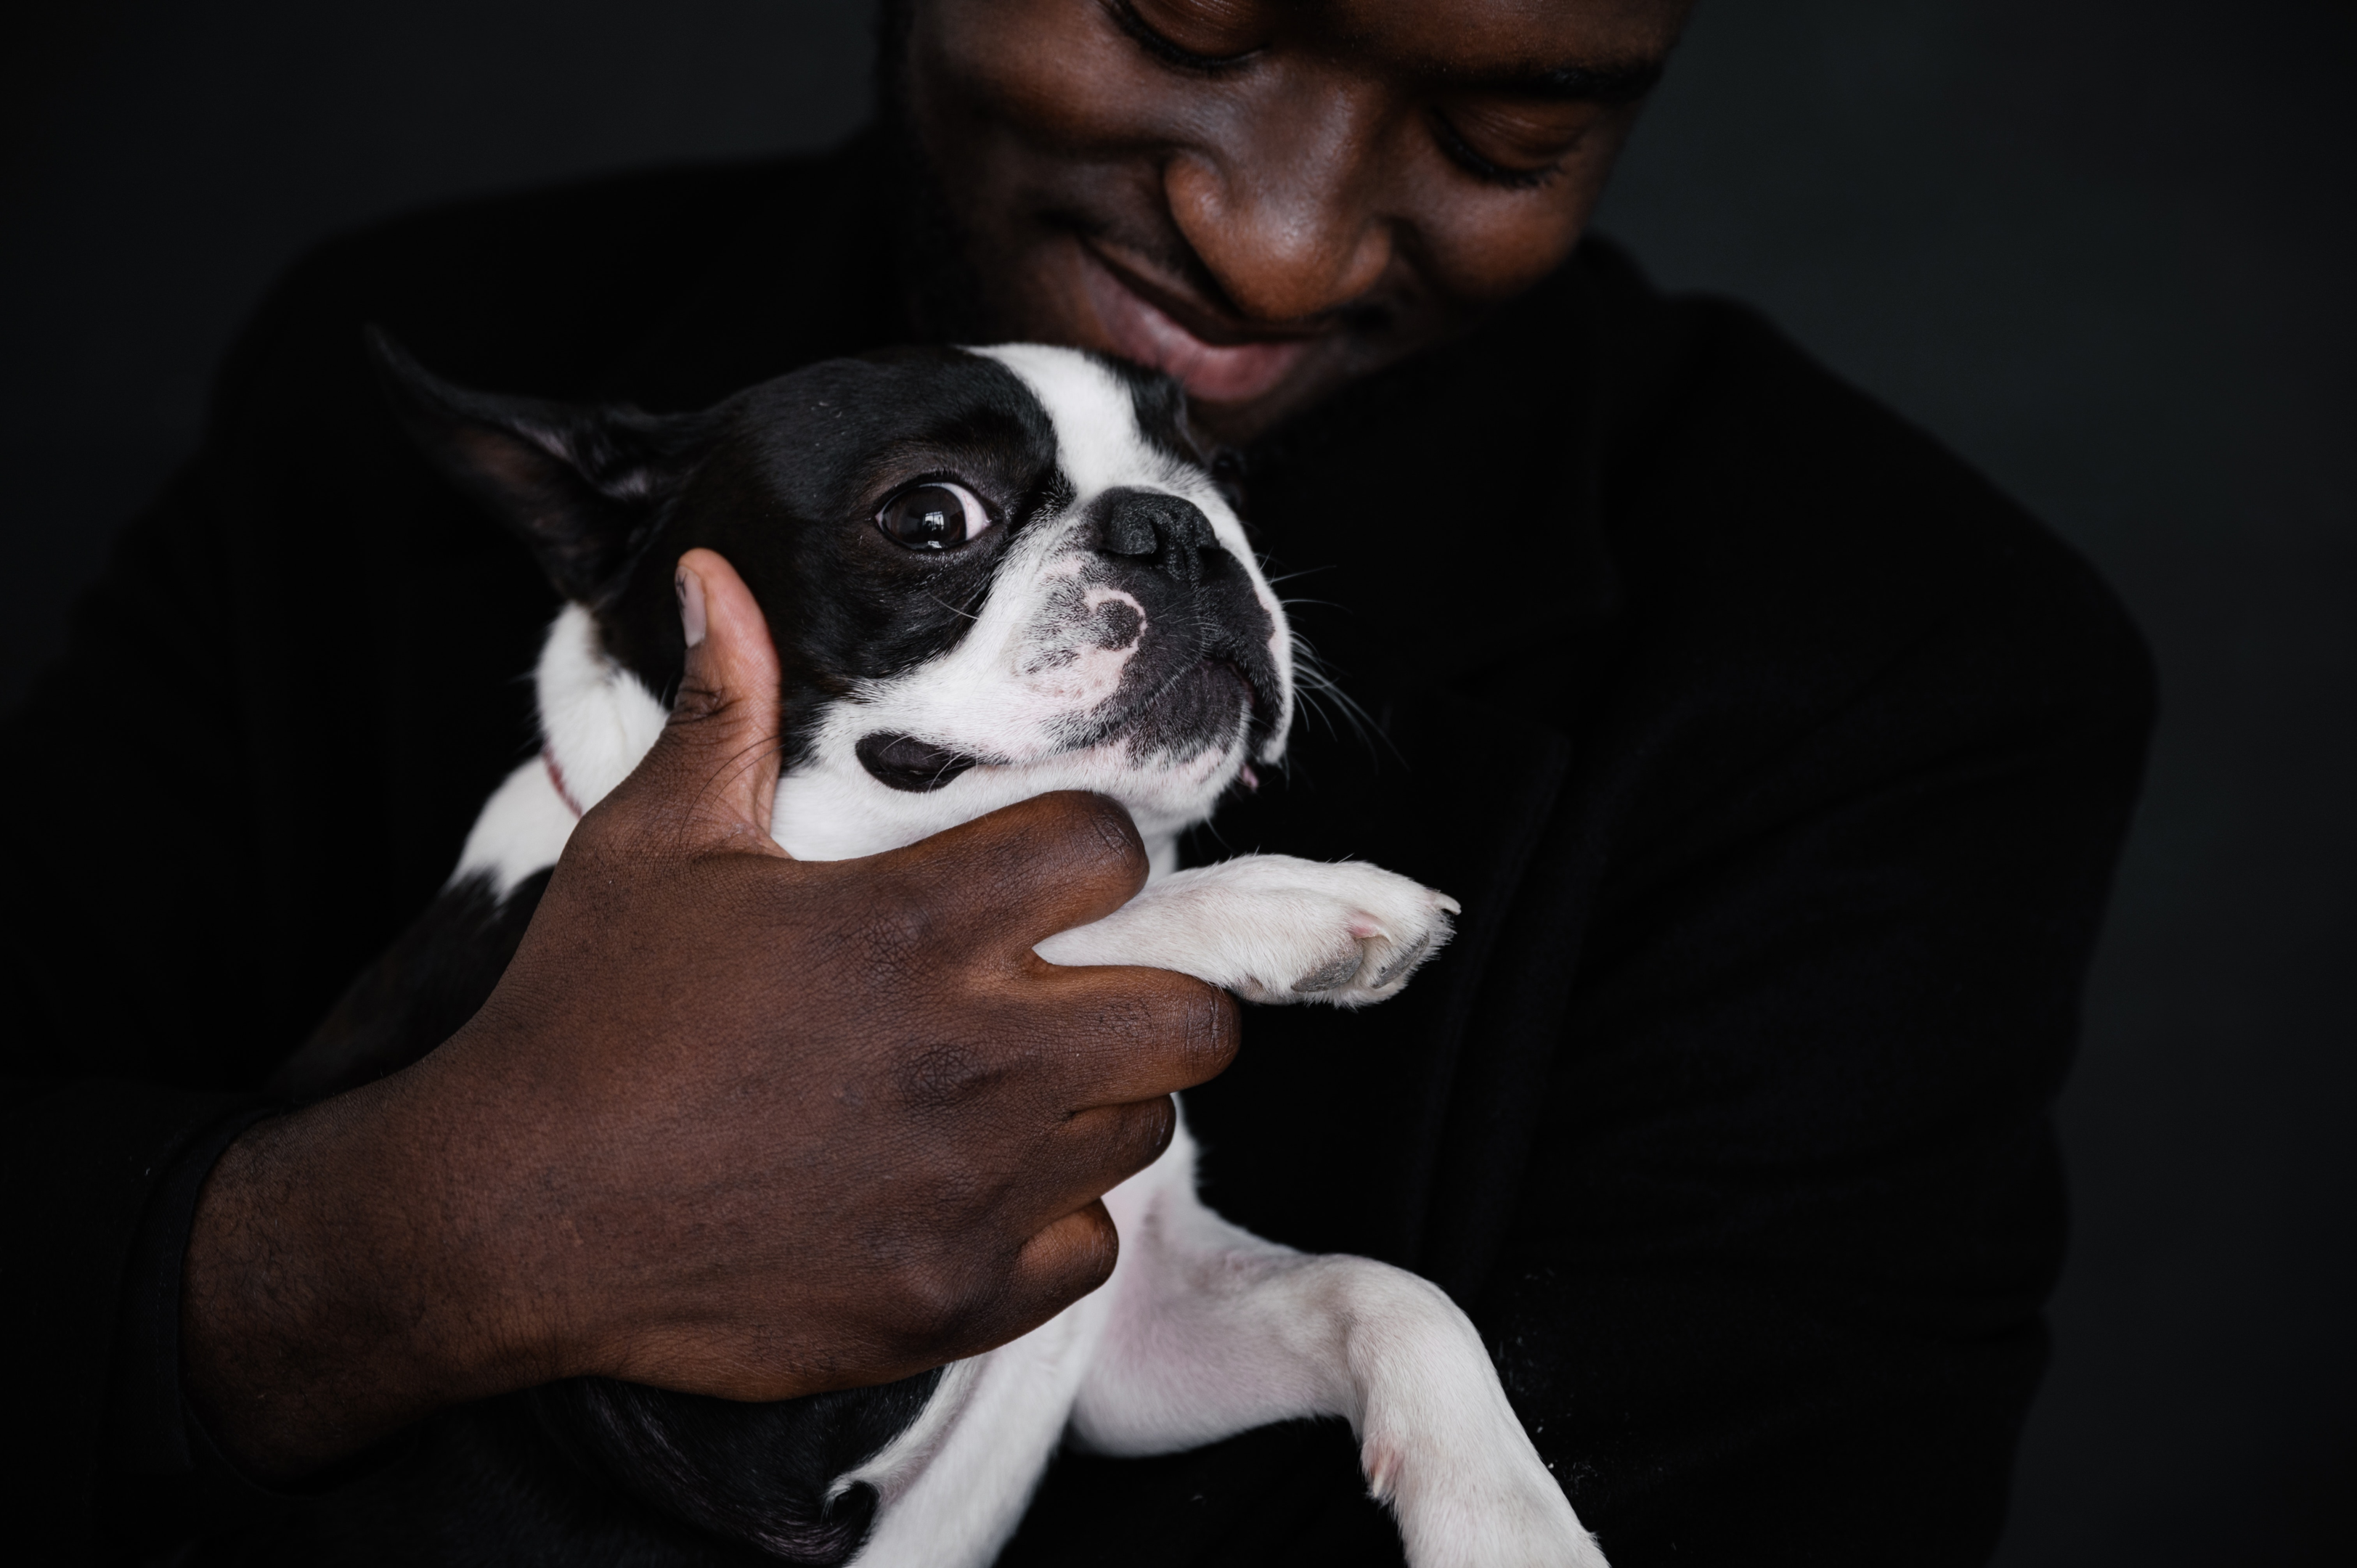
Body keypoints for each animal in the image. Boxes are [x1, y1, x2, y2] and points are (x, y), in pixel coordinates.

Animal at [275, 341, 1603, 1565]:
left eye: (1222, 474)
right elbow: (958, 923)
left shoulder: (1138, 1332)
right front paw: (1295, 903)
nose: (1174, 526)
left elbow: (1391, 1293)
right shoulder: (738, 1432)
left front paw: (1507, 1525)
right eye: (930, 516)